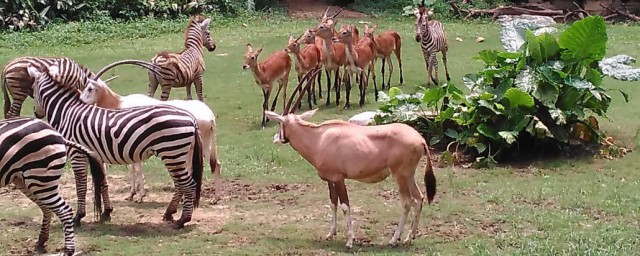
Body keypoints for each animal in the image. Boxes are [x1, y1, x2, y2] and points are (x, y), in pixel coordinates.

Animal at [0, 117, 105, 255]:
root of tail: (57, 133)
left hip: (40, 178)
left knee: (64, 210)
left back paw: (68, 250)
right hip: (25, 180)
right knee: (46, 208)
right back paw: (41, 241)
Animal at [26, 63, 202, 228]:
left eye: (33, 89)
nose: (36, 113)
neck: (67, 112)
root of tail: (191, 118)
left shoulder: (77, 154)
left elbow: (81, 185)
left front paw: (79, 217)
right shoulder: (97, 155)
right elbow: (104, 182)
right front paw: (106, 212)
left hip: (172, 152)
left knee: (188, 184)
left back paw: (182, 220)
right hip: (176, 154)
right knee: (180, 184)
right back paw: (170, 213)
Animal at [262, 74, 438, 248]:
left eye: (280, 123)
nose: (276, 138)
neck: (319, 139)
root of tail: (420, 139)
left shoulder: (339, 179)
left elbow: (345, 206)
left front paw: (350, 240)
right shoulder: (330, 180)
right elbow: (333, 204)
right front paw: (330, 234)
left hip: (400, 176)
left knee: (407, 202)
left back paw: (394, 239)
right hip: (409, 175)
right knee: (419, 199)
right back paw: (409, 237)